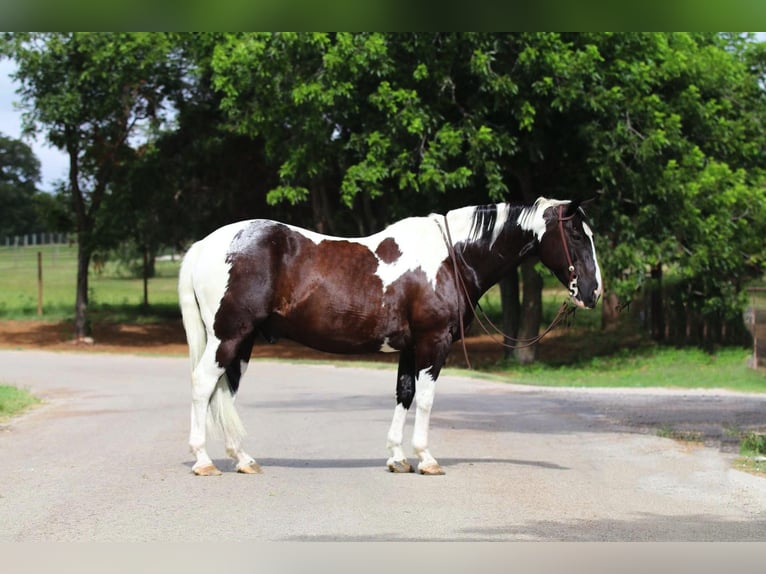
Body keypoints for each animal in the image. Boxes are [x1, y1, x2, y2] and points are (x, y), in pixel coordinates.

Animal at [177, 198, 604, 476]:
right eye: (575, 235)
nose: (593, 291)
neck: (451, 258)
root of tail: (205, 245)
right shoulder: (433, 343)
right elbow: (427, 399)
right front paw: (426, 458)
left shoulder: (410, 348)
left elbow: (404, 394)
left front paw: (397, 458)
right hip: (228, 337)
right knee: (201, 385)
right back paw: (204, 461)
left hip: (242, 341)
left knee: (224, 392)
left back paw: (243, 459)